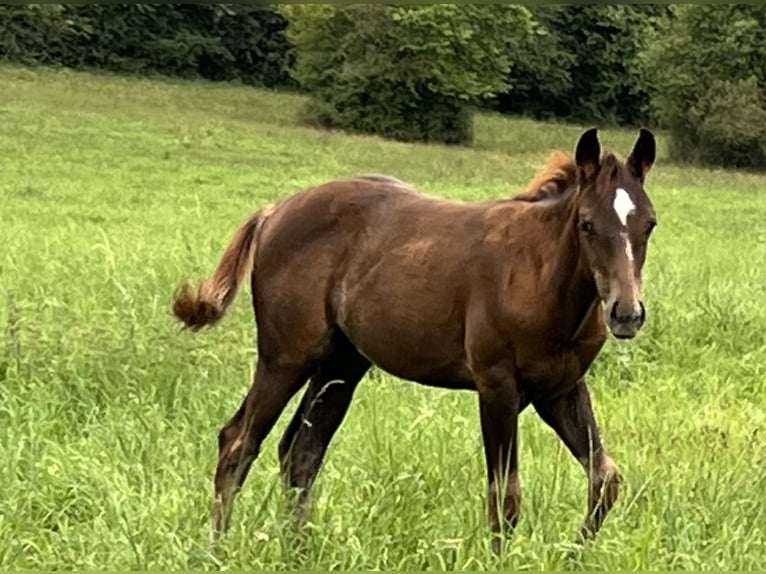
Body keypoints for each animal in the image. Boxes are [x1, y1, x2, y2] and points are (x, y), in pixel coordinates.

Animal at [171, 127, 658, 552]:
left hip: (341, 365)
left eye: (649, 224)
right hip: (285, 357)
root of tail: (275, 211)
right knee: (238, 442)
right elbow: (505, 498)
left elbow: (605, 479)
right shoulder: (497, 386)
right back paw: (216, 551)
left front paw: (575, 553)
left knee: (301, 452)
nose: (626, 314)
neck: (539, 274)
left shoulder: (560, 389)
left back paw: (299, 551)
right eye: (587, 224)